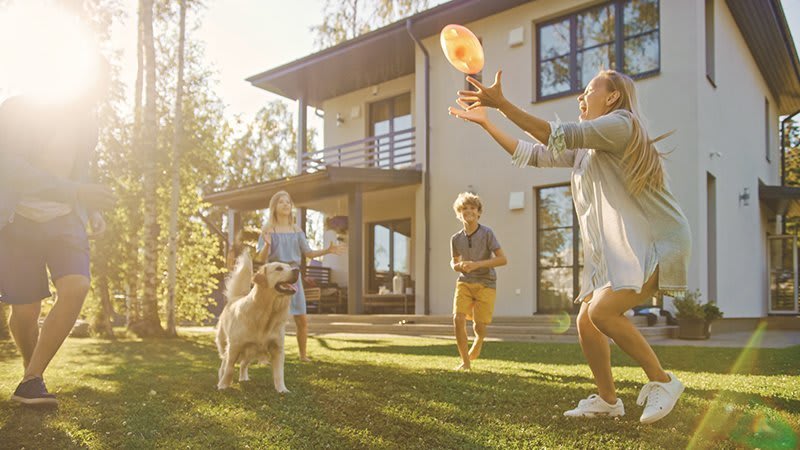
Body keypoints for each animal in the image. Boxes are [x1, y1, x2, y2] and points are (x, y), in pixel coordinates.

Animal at [214, 255, 298, 392]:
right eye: (278, 268)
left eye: (289, 266)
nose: (297, 270)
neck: (267, 313)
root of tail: (235, 298)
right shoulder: (235, 346)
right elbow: (229, 368)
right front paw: (223, 385)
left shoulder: (277, 348)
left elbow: (279, 373)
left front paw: (282, 389)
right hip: (225, 343)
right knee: (224, 361)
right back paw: (221, 377)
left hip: (251, 351)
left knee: (243, 364)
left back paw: (244, 378)